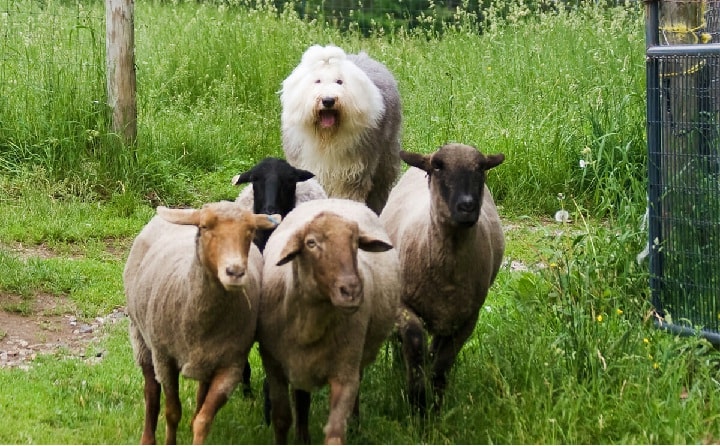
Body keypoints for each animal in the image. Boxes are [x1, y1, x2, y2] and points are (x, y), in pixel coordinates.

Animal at [122, 203, 280, 446]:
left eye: (251, 230)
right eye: (205, 227)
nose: (235, 272)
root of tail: (187, 209)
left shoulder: (231, 365)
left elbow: (204, 419)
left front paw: (196, 427)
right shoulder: (165, 358)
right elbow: (172, 411)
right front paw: (170, 441)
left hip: (207, 361)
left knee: (198, 397)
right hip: (140, 335)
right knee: (151, 391)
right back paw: (148, 438)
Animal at [258, 199, 404, 446]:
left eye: (356, 242)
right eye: (311, 243)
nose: (351, 290)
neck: (309, 326)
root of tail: (339, 199)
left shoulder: (344, 372)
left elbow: (335, 431)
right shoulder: (273, 364)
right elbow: (281, 418)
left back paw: (355, 425)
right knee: (302, 399)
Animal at [280, 44, 402, 215]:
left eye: (339, 81)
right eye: (317, 81)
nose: (328, 100)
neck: (327, 138)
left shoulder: (352, 172)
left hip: (385, 159)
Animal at [380, 145, 504, 412]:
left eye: (481, 168)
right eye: (438, 166)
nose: (467, 206)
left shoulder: (466, 319)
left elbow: (441, 364)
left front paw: (434, 408)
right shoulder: (403, 305)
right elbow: (414, 342)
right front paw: (417, 404)